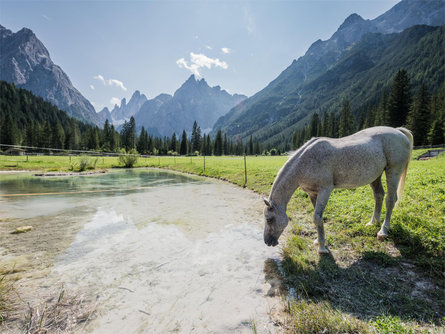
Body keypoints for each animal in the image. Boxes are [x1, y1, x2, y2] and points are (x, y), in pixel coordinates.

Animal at [264, 126, 412, 254]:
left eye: (269, 219)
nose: (267, 242)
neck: (305, 162)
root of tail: (398, 131)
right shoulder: (313, 193)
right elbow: (317, 218)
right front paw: (319, 241)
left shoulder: (325, 190)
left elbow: (317, 217)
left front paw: (322, 249)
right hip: (376, 176)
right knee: (379, 195)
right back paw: (373, 222)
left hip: (393, 171)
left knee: (390, 200)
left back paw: (383, 231)